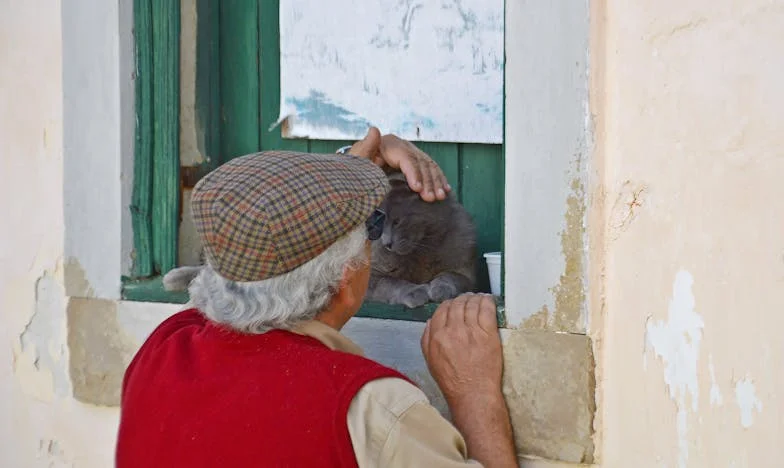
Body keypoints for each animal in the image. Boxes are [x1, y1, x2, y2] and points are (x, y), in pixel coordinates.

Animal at [162, 168, 474, 308]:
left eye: (397, 221)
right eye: (378, 223)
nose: (385, 243)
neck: (419, 252)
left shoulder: (465, 269)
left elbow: (451, 278)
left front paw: (438, 289)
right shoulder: (373, 276)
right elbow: (393, 282)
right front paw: (415, 293)